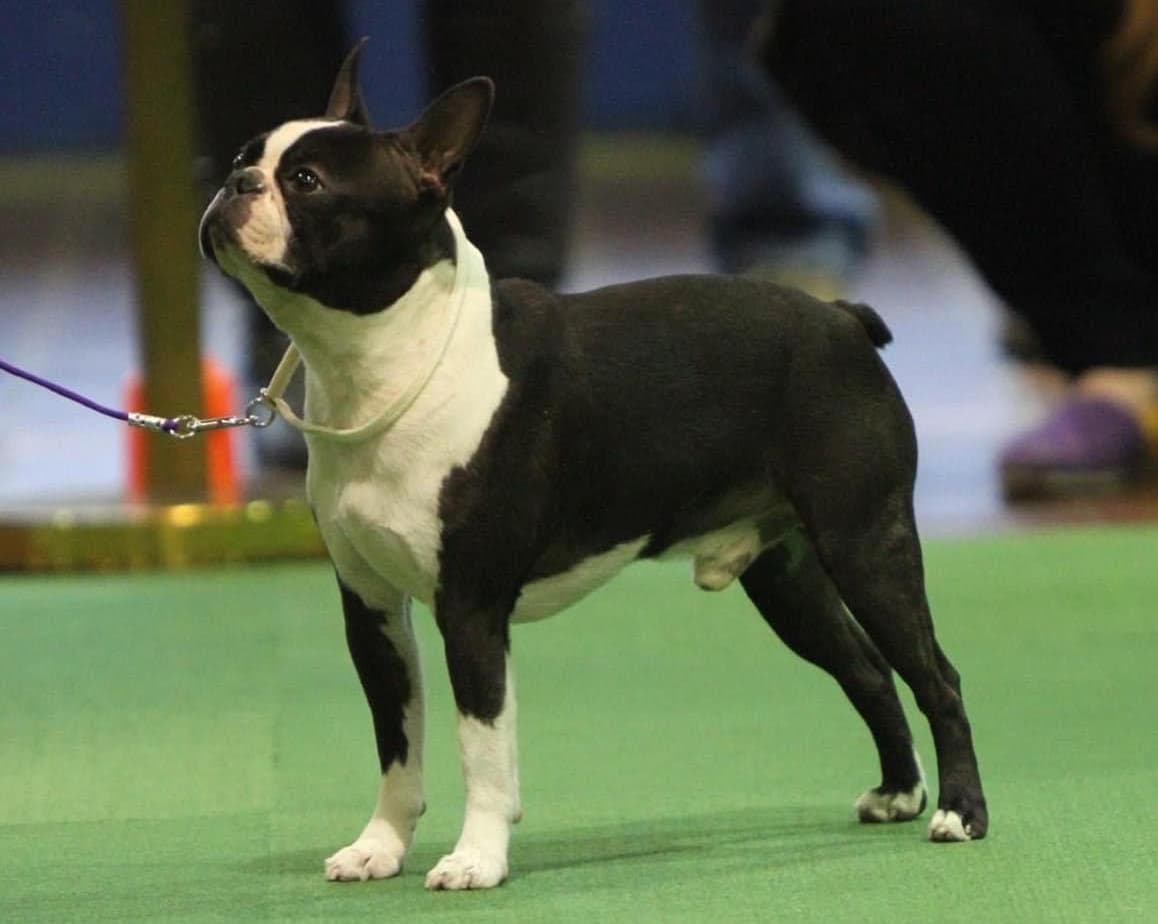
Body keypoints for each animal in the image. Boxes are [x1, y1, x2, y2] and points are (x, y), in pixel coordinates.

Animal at [198, 41, 987, 890]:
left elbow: (480, 743)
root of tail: (842, 321)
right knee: (868, 671)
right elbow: (397, 743)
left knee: (937, 676)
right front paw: (380, 846)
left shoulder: (470, 607)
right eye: (244, 157)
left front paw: (476, 858)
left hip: (865, 544)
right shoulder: (372, 609)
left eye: (306, 182)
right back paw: (899, 792)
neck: (387, 356)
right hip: (790, 577)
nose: (234, 185)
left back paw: (959, 813)